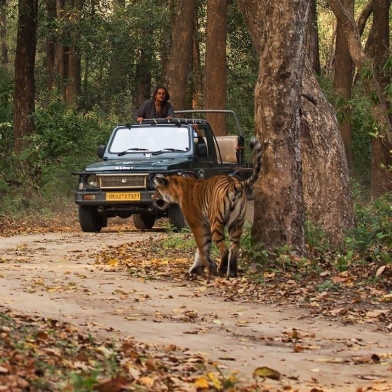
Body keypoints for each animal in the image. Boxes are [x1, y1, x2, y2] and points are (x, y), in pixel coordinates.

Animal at [152, 137, 260, 278]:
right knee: (234, 248)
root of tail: (234, 183)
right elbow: (202, 249)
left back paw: (220, 271)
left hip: (216, 222)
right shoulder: (205, 225)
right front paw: (198, 268)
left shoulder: (197, 225)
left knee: (224, 249)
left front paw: (206, 267)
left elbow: (202, 248)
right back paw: (232, 273)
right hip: (237, 223)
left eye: (156, 190)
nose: (152, 198)